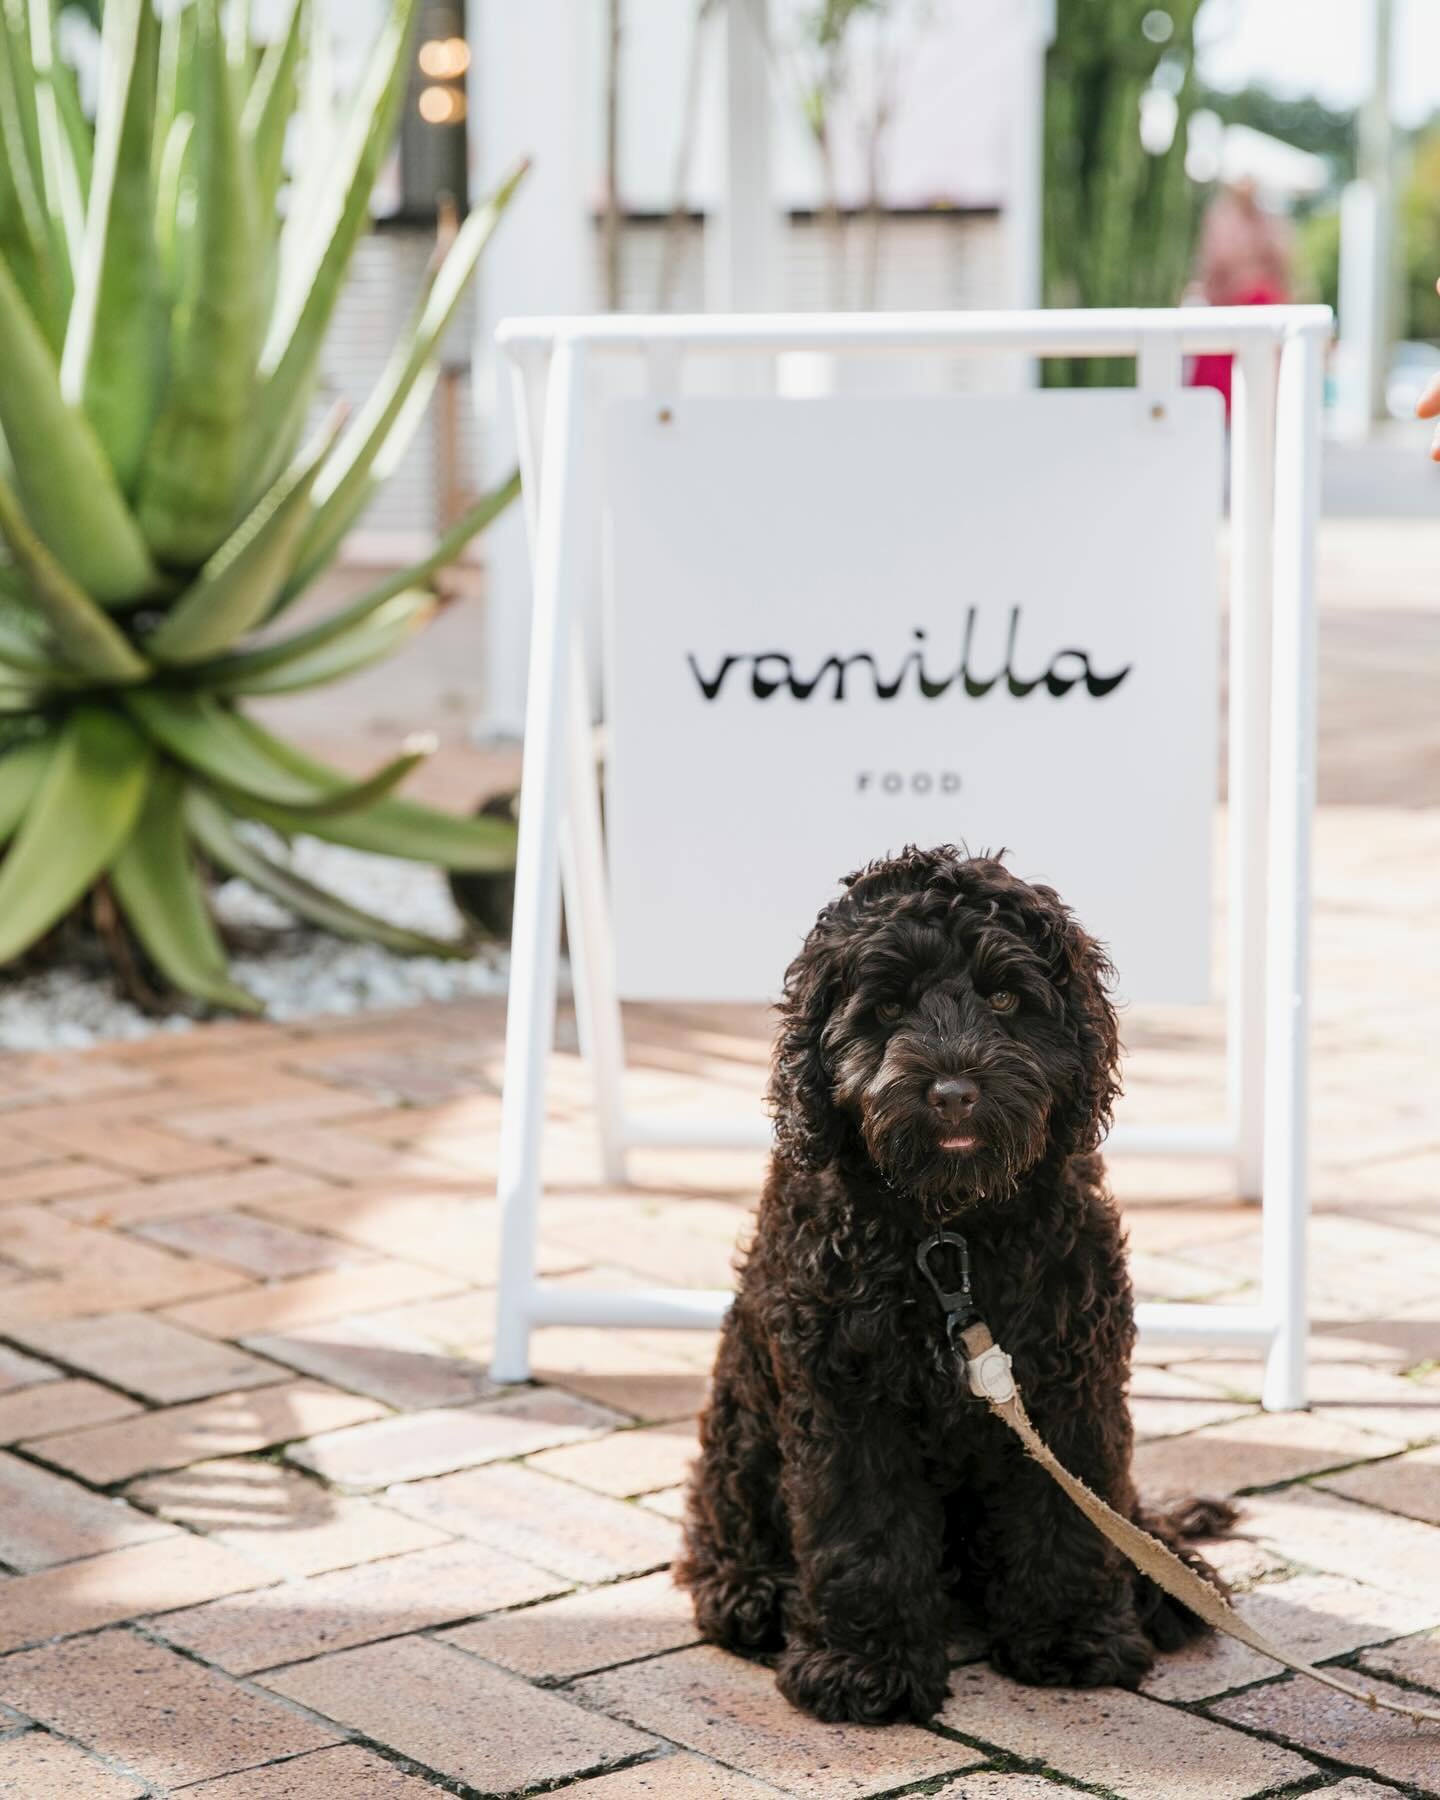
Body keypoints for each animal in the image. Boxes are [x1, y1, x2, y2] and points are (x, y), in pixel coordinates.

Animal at [676, 849, 1224, 1720]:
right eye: (888, 1006)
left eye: (1004, 999)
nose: (954, 1092)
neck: (950, 1231)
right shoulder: (847, 1395)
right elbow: (863, 1531)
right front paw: (863, 1667)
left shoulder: (1069, 1385)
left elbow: (1069, 1516)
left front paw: (1071, 1635)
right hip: (741, 1415)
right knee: (720, 1515)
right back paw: (752, 1591)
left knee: (1121, 1511)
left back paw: (1167, 1577)